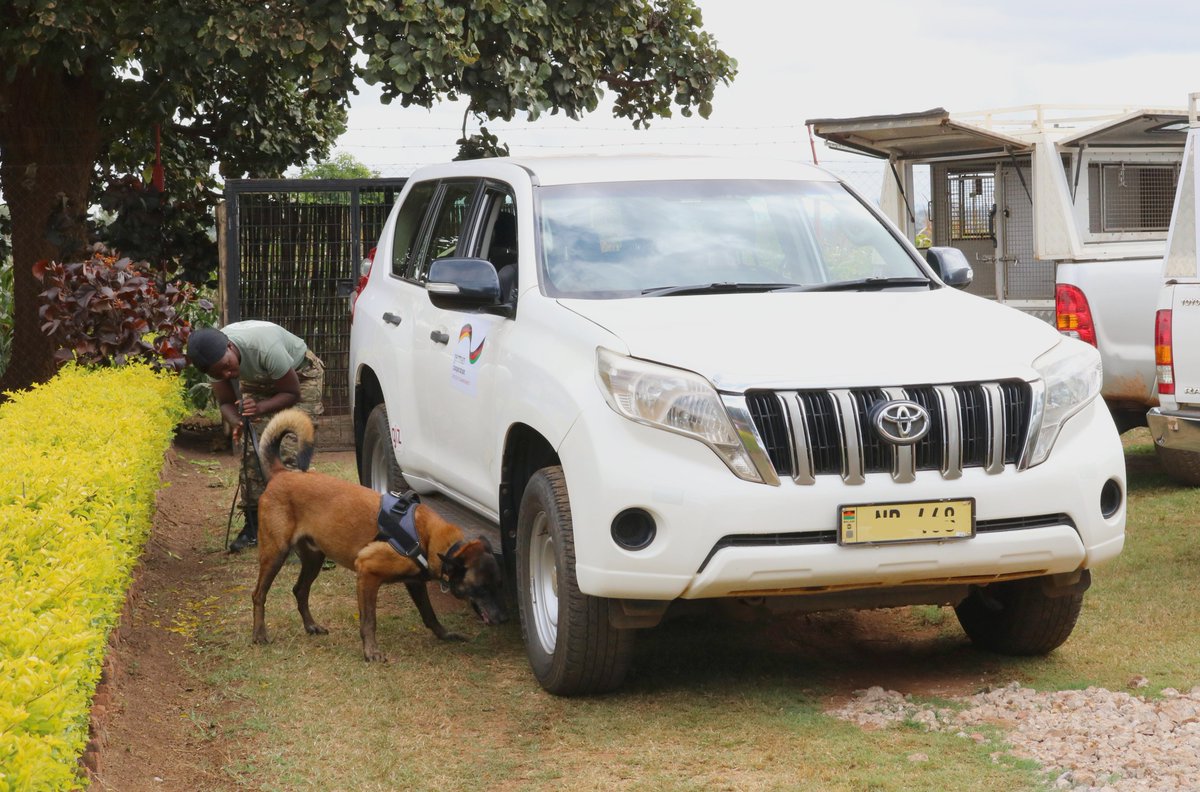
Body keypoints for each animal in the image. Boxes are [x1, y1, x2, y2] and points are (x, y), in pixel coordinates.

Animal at [250, 410, 504, 657]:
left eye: (498, 586)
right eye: (481, 588)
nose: (502, 618)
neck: (426, 537)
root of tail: (281, 473)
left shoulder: (415, 584)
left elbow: (429, 615)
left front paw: (445, 635)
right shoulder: (367, 573)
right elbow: (369, 621)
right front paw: (371, 651)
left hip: (314, 558)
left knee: (300, 590)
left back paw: (311, 626)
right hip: (275, 553)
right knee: (259, 594)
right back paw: (260, 635)